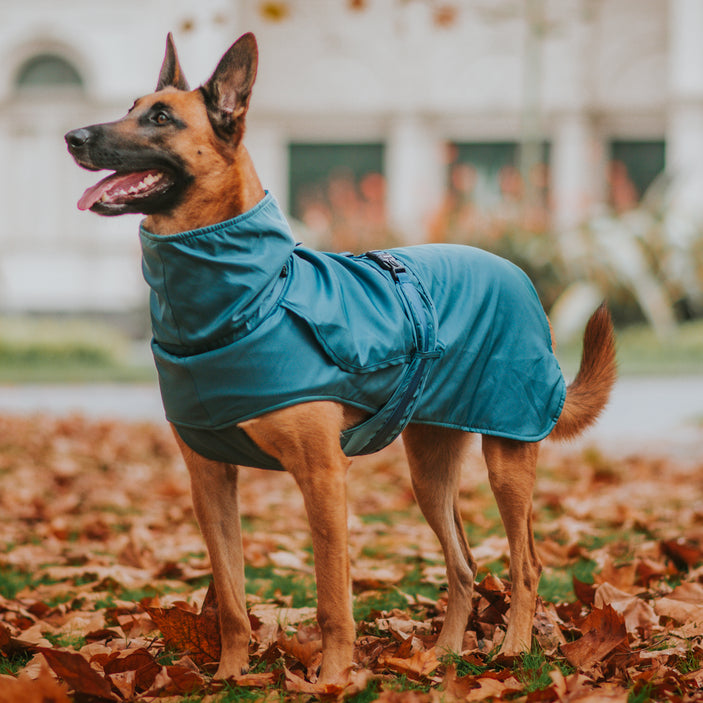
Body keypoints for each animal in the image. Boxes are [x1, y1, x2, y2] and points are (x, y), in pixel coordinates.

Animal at [64, 34, 616, 688]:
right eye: (130, 107)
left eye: (161, 119)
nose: (73, 136)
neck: (250, 297)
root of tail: (514, 269)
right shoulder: (210, 482)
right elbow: (230, 599)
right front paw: (230, 675)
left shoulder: (322, 476)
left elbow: (332, 600)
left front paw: (331, 680)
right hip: (429, 471)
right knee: (462, 563)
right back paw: (444, 655)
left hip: (507, 458)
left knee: (525, 562)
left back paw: (511, 650)